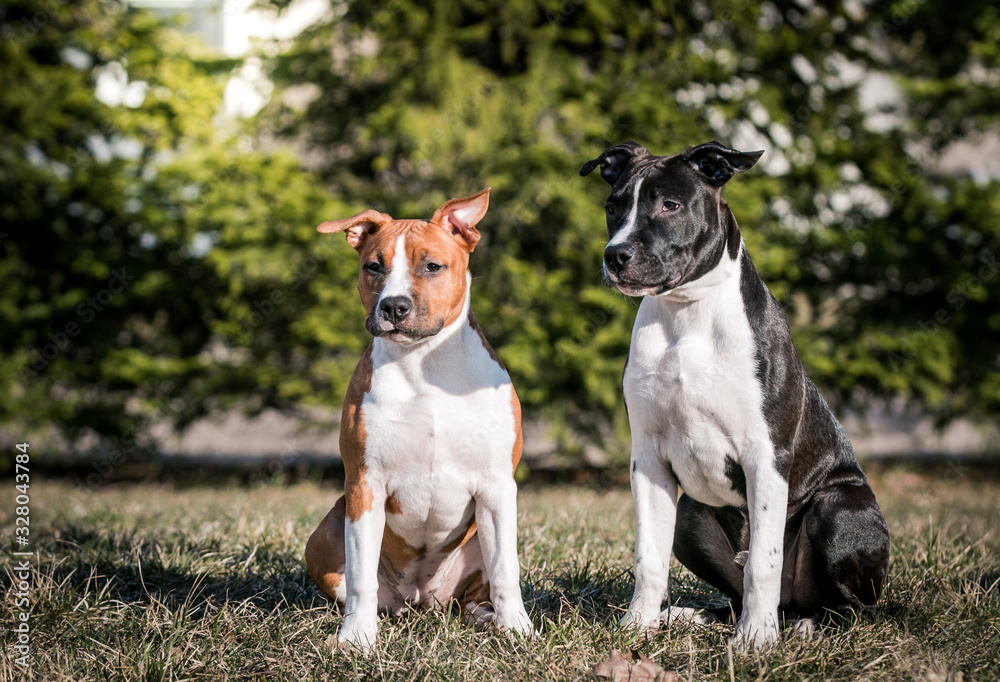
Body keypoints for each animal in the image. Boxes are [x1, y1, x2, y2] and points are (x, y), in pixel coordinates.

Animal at [304, 187, 536, 648]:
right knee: (361, 585)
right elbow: (360, 577)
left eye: (432, 266)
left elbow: (506, 568)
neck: (424, 365)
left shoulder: (497, 487)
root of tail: (420, 596)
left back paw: (488, 618)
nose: (394, 306)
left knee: (473, 595)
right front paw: (357, 638)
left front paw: (518, 630)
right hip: (325, 534)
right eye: (373, 266)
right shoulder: (365, 483)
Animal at [580, 138, 892, 648]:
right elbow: (648, 556)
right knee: (734, 593)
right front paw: (637, 626)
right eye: (613, 207)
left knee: (850, 608)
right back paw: (691, 616)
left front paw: (755, 641)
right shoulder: (648, 459)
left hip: (839, 507)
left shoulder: (765, 453)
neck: (687, 313)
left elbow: (763, 561)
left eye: (670, 205)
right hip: (691, 516)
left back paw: (801, 625)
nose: (615, 255)